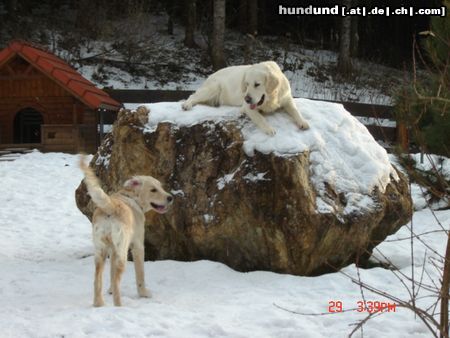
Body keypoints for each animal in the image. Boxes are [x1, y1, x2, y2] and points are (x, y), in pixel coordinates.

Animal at [80, 157, 173, 308]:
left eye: (161, 187)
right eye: (153, 190)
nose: (171, 198)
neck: (131, 197)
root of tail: (110, 206)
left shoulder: (113, 250)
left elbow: (111, 275)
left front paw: (110, 290)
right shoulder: (138, 246)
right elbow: (140, 274)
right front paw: (143, 293)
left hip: (100, 252)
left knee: (97, 280)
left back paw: (99, 304)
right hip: (122, 253)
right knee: (118, 281)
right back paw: (119, 306)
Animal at [182, 60, 310, 135]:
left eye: (257, 84)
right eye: (247, 84)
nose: (247, 99)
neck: (271, 98)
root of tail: (211, 75)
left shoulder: (286, 99)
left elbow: (295, 110)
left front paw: (303, 122)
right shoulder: (248, 107)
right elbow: (260, 118)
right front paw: (268, 128)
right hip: (214, 87)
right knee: (192, 95)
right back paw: (186, 105)